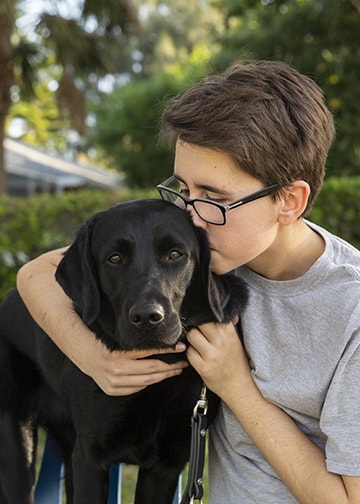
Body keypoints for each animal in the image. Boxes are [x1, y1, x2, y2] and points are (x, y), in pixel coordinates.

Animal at [0, 199, 248, 502]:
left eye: (175, 254)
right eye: (114, 258)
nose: (147, 317)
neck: (159, 366)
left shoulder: (166, 466)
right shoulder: (90, 459)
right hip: (17, 443)